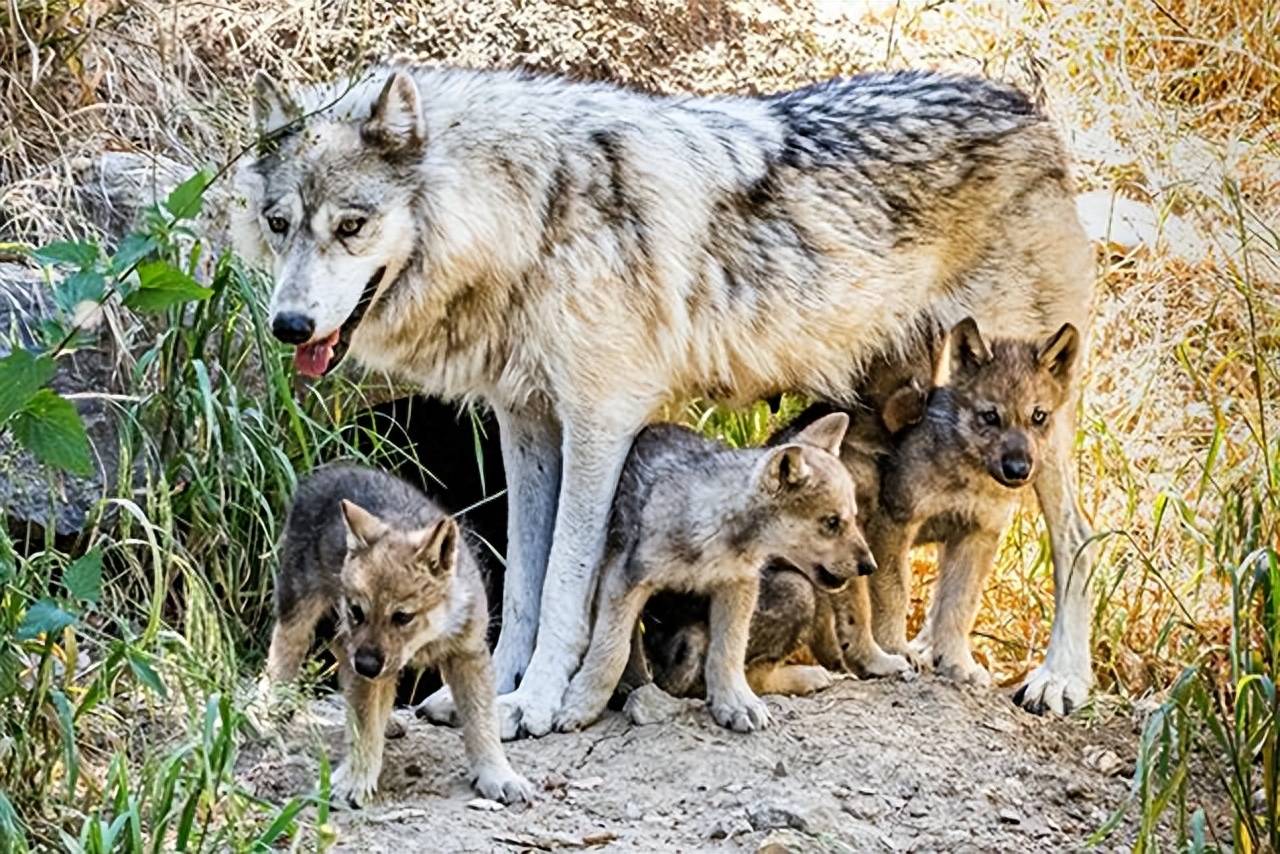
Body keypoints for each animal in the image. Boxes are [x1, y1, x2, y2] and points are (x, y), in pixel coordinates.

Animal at [230, 65, 1090, 737]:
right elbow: (525, 578)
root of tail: (1025, 106)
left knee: (1076, 536)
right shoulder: (527, 425)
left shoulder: (600, 423)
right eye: (279, 224)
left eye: (351, 225)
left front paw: (536, 703)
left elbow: (563, 584)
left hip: (1038, 428)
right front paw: (487, 689)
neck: (532, 218)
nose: (288, 325)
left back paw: (1059, 679)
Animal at [266, 463, 535, 804]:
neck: (428, 637)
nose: (366, 665)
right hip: (300, 609)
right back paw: (268, 712)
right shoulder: (364, 654)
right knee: (284, 654)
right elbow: (365, 723)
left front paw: (498, 775)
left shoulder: (468, 653)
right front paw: (355, 779)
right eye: (358, 611)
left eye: (403, 617)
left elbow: (482, 721)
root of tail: (325, 472)